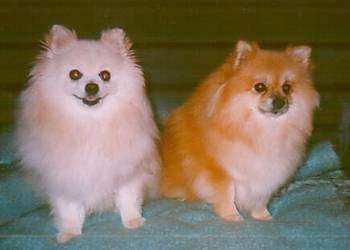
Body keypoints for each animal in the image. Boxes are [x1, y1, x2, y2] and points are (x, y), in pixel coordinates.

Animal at [15, 24, 160, 243]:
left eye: (105, 75)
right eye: (74, 74)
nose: (92, 86)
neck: (91, 124)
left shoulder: (128, 170)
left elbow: (128, 197)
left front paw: (133, 221)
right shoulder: (65, 177)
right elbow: (69, 209)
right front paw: (70, 232)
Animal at [160, 41, 318, 221]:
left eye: (286, 88)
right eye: (260, 87)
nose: (279, 101)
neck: (263, 130)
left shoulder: (266, 174)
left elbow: (261, 197)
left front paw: (262, 216)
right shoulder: (221, 171)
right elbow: (227, 193)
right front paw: (232, 216)